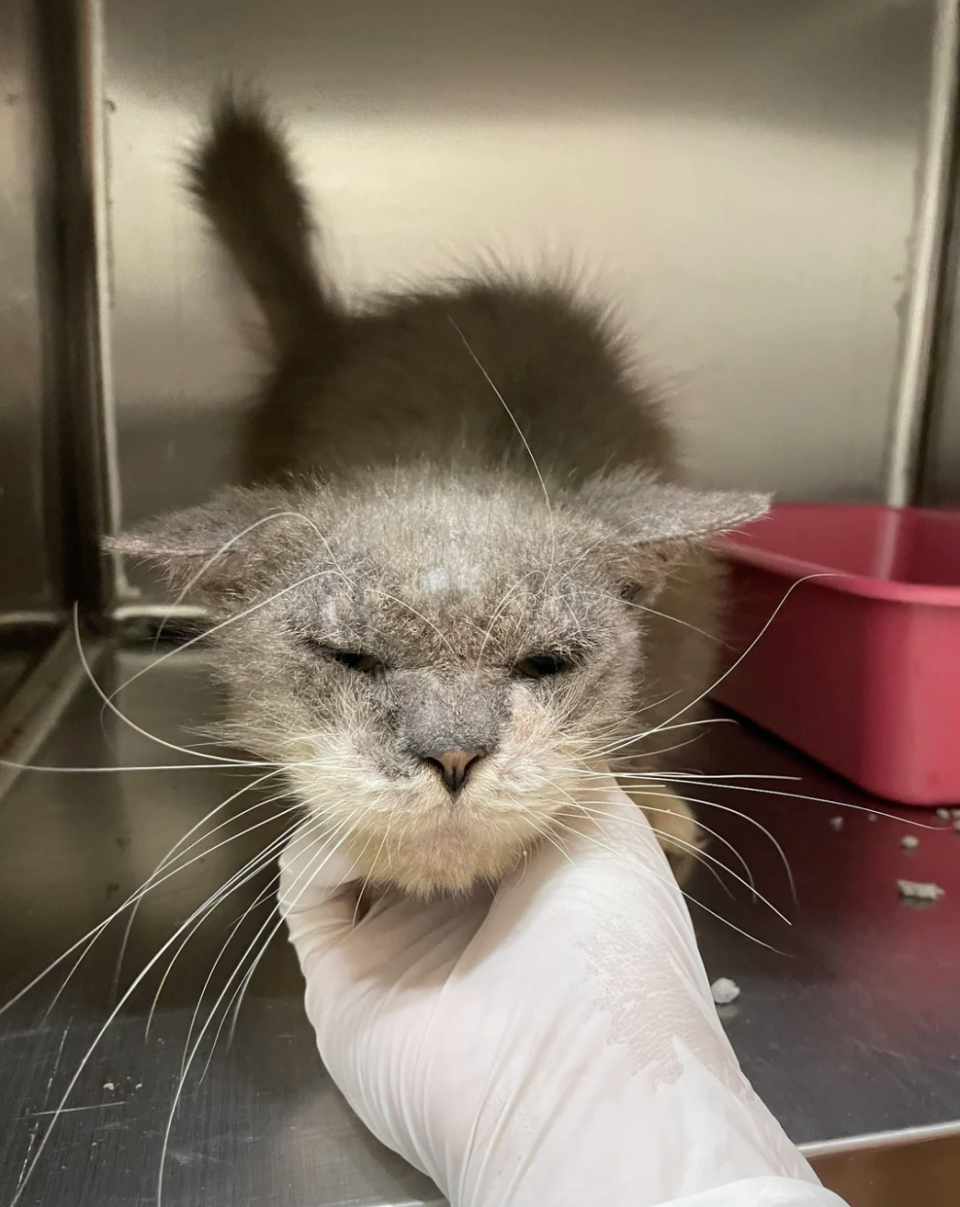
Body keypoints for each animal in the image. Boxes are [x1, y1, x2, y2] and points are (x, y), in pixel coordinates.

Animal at [106, 91, 768, 898]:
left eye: (546, 663)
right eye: (349, 658)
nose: (453, 757)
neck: (463, 447)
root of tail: (332, 337)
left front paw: (652, 806)